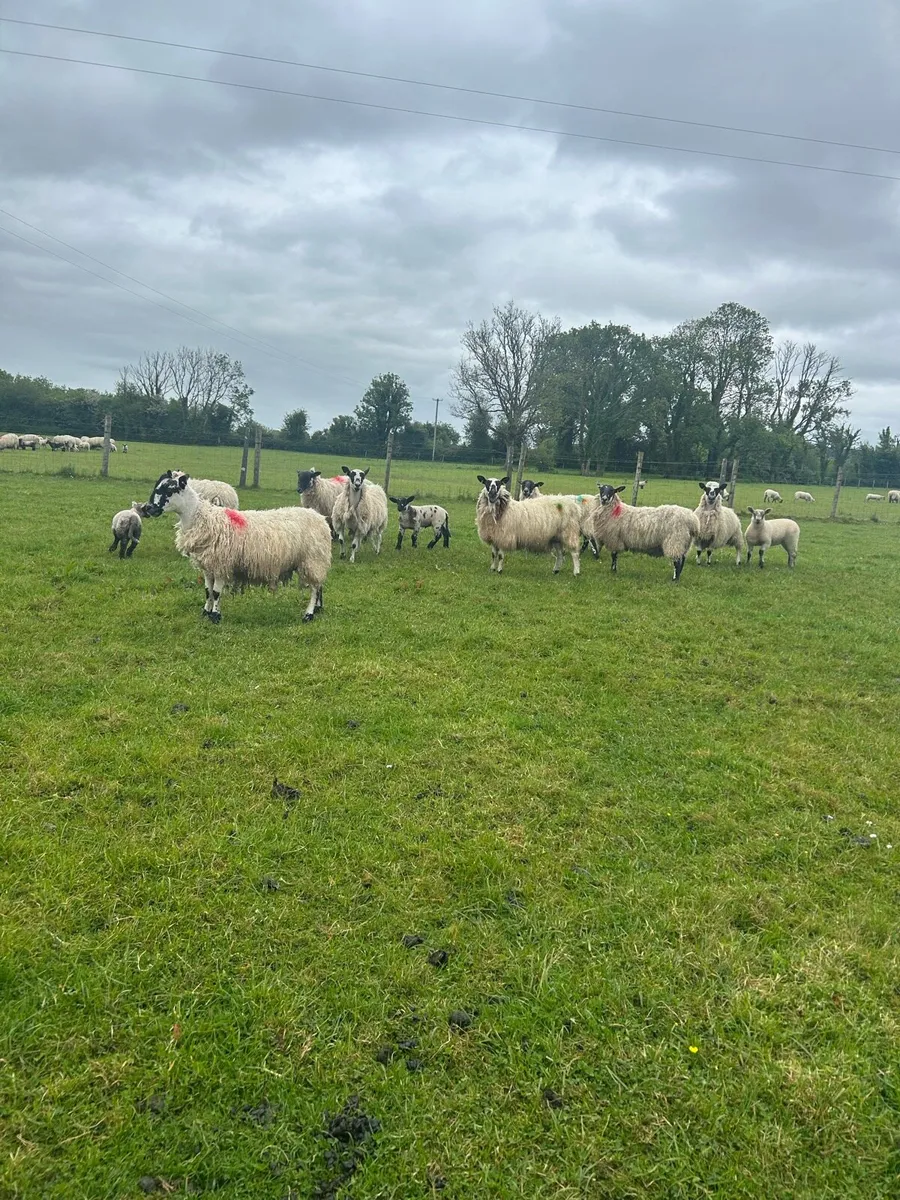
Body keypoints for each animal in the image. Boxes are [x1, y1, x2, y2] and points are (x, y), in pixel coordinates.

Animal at [143, 470, 331, 623]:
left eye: (169, 489)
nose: (149, 508)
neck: (200, 517)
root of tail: (320, 518)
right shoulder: (208, 566)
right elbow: (207, 590)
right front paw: (205, 612)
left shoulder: (221, 563)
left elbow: (216, 592)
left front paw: (215, 616)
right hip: (315, 560)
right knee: (320, 585)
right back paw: (318, 609)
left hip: (313, 558)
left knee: (315, 588)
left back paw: (309, 614)